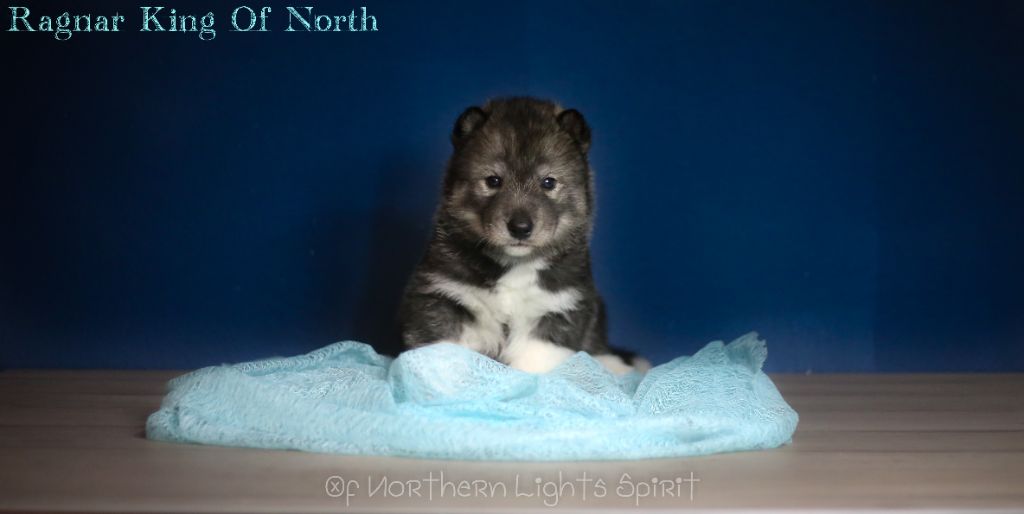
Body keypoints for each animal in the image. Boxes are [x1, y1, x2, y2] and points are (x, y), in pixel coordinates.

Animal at [398, 97, 647, 375]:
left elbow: (535, 362)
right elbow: (444, 354)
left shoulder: (556, 309)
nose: (520, 227)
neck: (514, 265)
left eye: (548, 182)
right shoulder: (442, 296)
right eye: (493, 180)